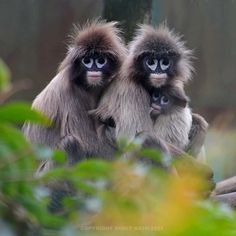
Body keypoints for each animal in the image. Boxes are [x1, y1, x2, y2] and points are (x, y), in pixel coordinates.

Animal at [23, 19, 126, 166]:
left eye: (101, 61)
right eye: (87, 61)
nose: (94, 69)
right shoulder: (71, 92)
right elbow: (88, 142)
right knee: (71, 144)